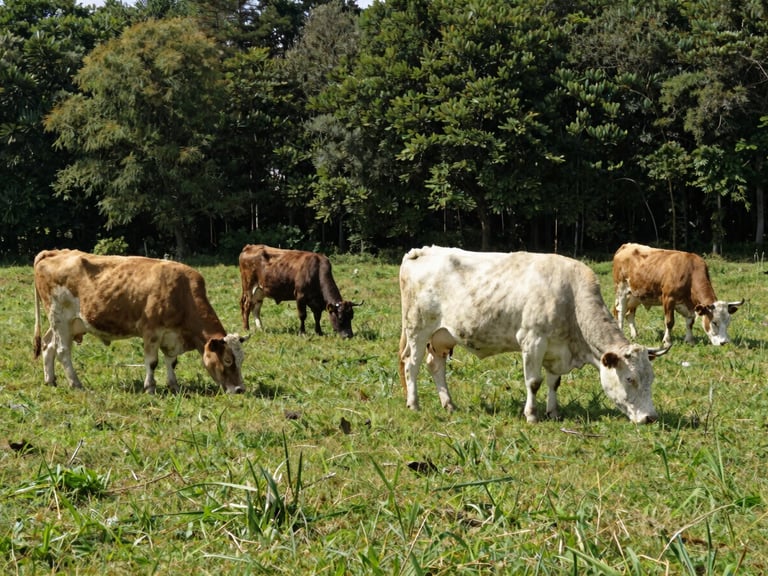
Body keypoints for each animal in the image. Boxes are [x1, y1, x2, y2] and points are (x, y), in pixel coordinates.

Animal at [33, 249, 247, 394]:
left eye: (241, 360)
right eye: (227, 360)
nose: (240, 389)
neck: (183, 292)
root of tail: (54, 252)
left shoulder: (170, 335)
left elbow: (171, 361)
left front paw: (174, 385)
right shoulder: (151, 331)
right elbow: (152, 362)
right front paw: (150, 387)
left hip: (66, 323)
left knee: (48, 345)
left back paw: (50, 380)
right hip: (60, 318)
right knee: (62, 351)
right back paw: (75, 383)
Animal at [398, 246, 669, 424]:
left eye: (652, 379)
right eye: (630, 379)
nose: (651, 417)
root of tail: (420, 251)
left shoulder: (555, 349)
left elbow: (553, 382)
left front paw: (553, 412)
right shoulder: (532, 341)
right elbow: (534, 382)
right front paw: (531, 415)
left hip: (442, 336)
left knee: (436, 366)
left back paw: (449, 404)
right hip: (418, 329)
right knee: (411, 364)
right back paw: (413, 404)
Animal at [612, 243, 744, 346]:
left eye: (728, 322)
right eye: (714, 322)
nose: (724, 342)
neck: (690, 272)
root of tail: (626, 246)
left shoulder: (690, 305)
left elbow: (690, 322)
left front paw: (690, 340)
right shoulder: (668, 298)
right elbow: (669, 322)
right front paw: (667, 341)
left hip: (636, 295)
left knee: (629, 314)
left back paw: (635, 335)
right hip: (622, 290)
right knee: (620, 312)